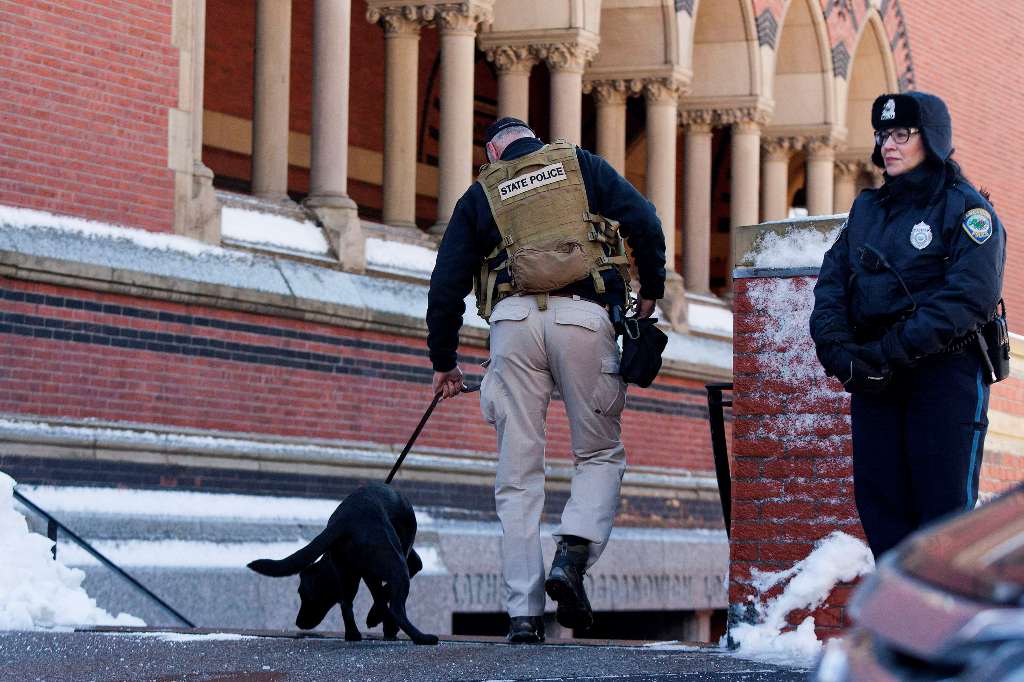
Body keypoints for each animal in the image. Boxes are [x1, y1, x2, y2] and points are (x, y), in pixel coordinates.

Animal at [251, 477, 440, 643]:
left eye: (303, 594)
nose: (298, 623)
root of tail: (345, 522)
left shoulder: (367, 574)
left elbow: (380, 595)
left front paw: (376, 618)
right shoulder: (402, 563)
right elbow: (385, 593)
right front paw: (378, 619)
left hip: (351, 576)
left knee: (347, 605)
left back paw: (354, 634)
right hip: (396, 568)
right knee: (395, 608)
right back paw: (419, 637)